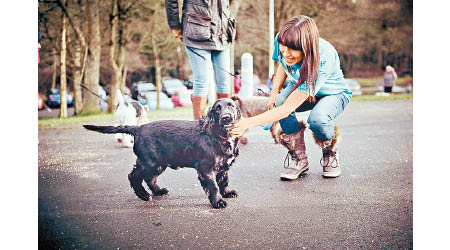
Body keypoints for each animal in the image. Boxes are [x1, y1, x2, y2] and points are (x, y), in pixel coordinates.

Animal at [82, 98, 241, 208]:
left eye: (231, 106)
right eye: (217, 109)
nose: (226, 117)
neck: (219, 135)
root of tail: (137, 129)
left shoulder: (223, 167)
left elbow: (223, 181)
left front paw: (227, 193)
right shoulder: (206, 168)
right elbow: (213, 186)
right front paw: (218, 202)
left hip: (158, 163)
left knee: (149, 179)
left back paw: (158, 191)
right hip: (149, 162)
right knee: (133, 176)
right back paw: (144, 195)